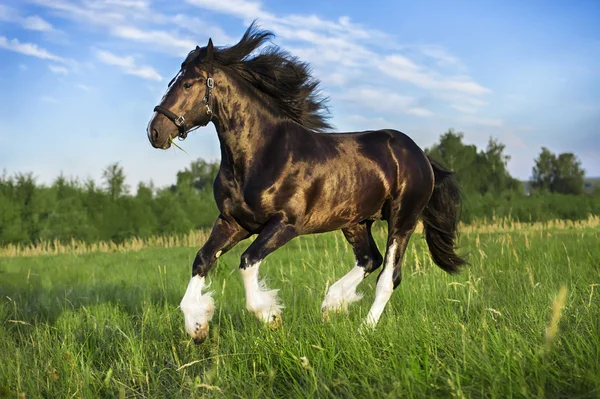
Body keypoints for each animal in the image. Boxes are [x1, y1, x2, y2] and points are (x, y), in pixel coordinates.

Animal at [148, 23, 466, 346]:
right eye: (174, 80)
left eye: (189, 84)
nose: (155, 132)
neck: (261, 154)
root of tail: (421, 155)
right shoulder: (233, 222)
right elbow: (202, 260)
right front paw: (197, 326)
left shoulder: (285, 224)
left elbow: (247, 261)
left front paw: (270, 316)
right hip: (356, 222)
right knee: (369, 260)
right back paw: (332, 303)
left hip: (403, 220)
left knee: (388, 277)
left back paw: (362, 330)